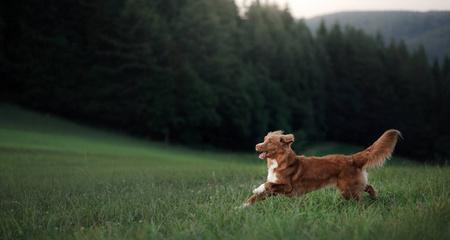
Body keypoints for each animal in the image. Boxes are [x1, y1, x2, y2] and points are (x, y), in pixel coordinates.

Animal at [243, 129, 400, 206]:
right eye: (264, 139)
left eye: (269, 142)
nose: (256, 145)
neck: (278, 161)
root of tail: (351, 158)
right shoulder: (276, 189)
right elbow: (255, 197)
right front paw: (241, 208)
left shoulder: (287, 187)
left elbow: (268, 184)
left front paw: (257, 188)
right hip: (351, 186)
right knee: (368, 187)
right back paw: (375, 198)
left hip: (348, 189)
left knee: (360, 198)